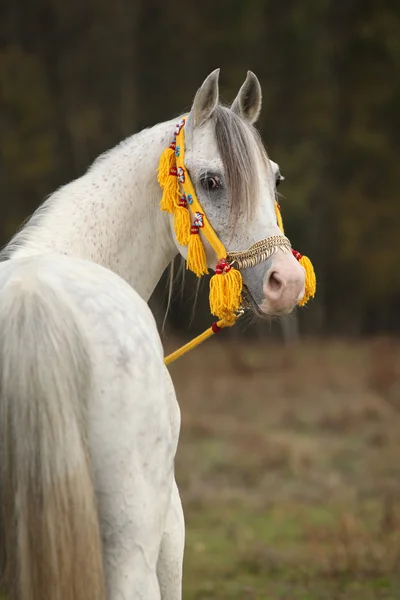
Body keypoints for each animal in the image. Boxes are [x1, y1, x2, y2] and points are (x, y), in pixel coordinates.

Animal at [0, 70, 304, 600]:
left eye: (276, 178)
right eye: (211, 180)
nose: (286, 282)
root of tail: (32, 296)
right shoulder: (170, 534)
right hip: (132, 552)